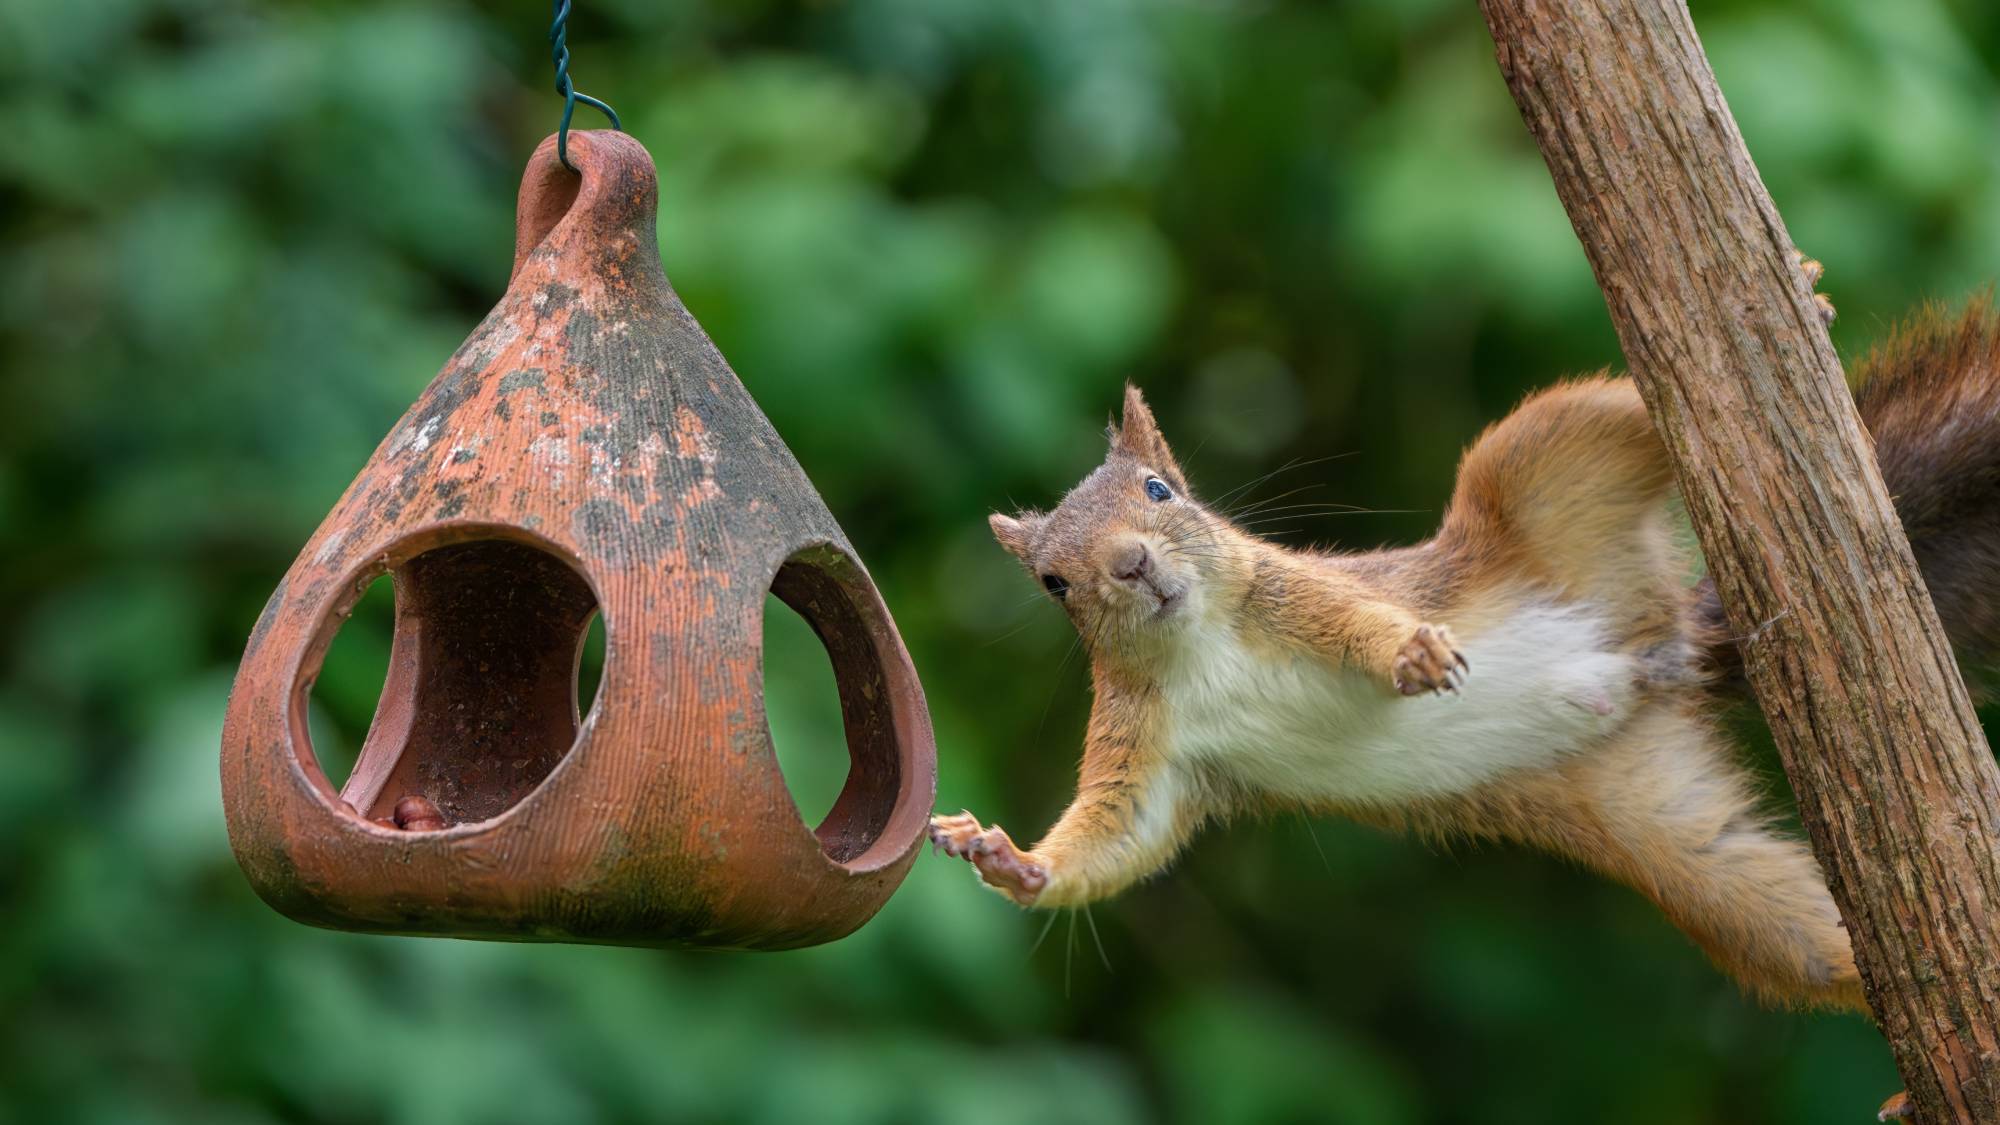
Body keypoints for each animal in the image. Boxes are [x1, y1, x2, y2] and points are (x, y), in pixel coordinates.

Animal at [930, 257, 2000, 1015]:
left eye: (1159, 490)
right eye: (1052, 582)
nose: (1129, 565)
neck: (1199, 644)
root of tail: (1657, 649)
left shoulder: (1298, 593)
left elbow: (1362, 625)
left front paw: (1411, 653)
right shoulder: (1147, 745)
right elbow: (1121, 834)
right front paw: (1008, 860)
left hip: (1541, 465)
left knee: (1617, 417)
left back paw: (1800, 303)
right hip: (1663, 828)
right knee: (1783, 925)